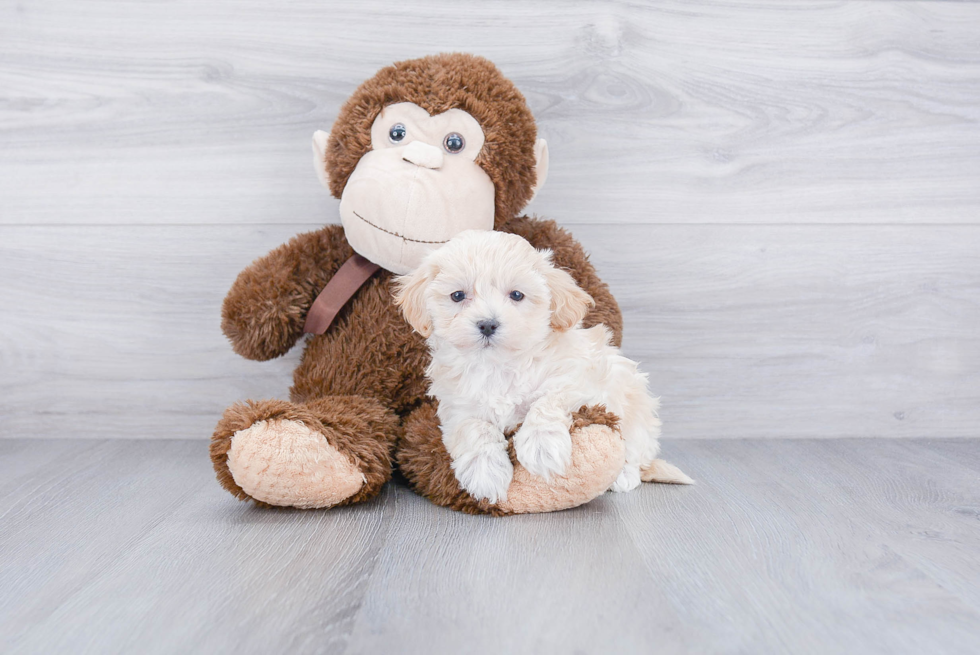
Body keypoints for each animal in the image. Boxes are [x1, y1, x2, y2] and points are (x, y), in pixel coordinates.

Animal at [390, 231, 688, 502]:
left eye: (517, 295)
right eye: (457, 295)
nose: (487, 324)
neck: (498, 366)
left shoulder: (580, 381)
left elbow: (547, 401)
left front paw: (542, 447)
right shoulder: (457, 409)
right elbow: (475, 429)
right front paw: (485, 472)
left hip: (635, 404)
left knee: (636, 451)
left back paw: (624, 476)